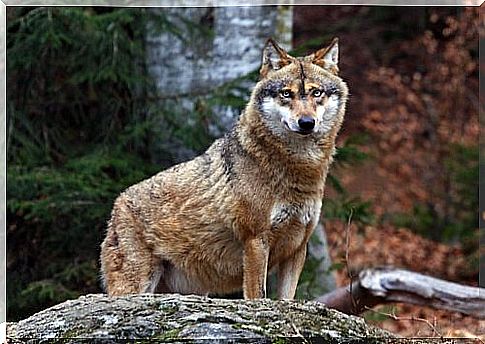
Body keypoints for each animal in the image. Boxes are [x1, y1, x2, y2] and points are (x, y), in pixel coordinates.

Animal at [99, 37, 348, 300]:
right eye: (286, 94)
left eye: (316, 92)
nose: (306, 123)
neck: (299, 168)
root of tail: (117, 204)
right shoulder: (255, 241)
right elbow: (257, 296)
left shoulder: (298, 248)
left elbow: (286, 300)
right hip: (135, 287)